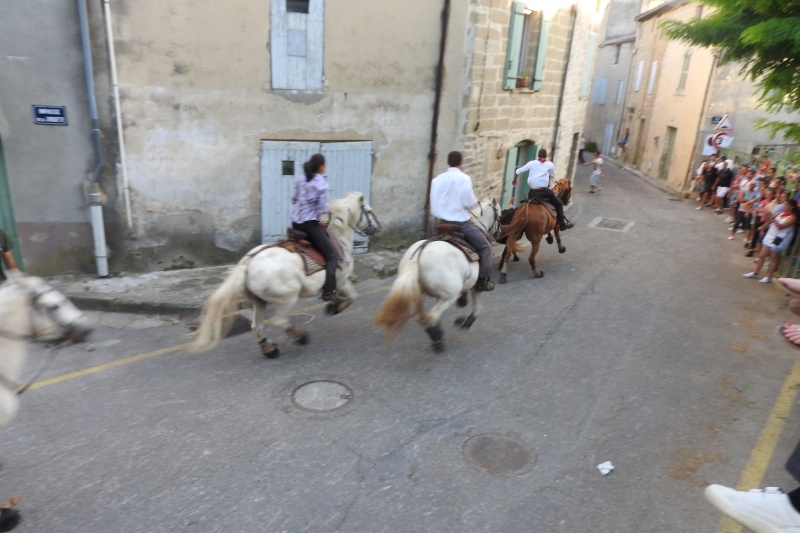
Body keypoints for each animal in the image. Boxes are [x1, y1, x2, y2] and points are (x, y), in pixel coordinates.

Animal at [193, 191, 382, 358]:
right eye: (369, 210)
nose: (377, 228)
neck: (338, 236)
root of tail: (247, 265)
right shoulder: (342, 281)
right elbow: (352, 297)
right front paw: (334, 307)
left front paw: (333, 305)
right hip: (287, 299)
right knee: (279, 321)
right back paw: (300, 336)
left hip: (259, 302)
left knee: (257, 326)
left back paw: (269, 349)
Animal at [376, 197, 500, 352]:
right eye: (499, 215)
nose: (500, 232)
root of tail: (419, 255)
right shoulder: (475, 286)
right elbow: (477, 308)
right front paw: (465, 323)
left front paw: (462, 302)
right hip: (448, 296)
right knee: (431, 316)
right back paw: (438, 341)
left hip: (418, 293)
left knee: (423, 317)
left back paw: (437, 335)